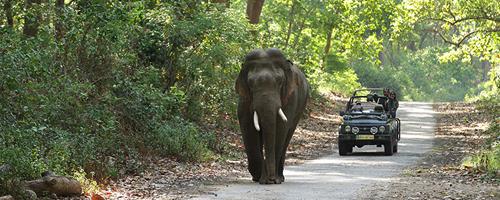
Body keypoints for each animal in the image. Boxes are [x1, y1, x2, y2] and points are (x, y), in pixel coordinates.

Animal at [234, 47, 308, 184]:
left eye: (280, 82)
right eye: (250, 84)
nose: (271, 178)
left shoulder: (290, 97)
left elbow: (280, 128)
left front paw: (270, 180)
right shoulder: (244, 98)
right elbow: (248, 127)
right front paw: (259, 177)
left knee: (287, 136)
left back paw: (280, 178)